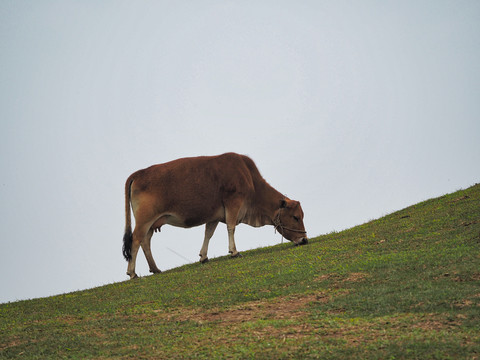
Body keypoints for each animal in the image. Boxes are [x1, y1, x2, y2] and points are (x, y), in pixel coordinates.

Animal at [122, 152, 306, 278]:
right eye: (296, 217)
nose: (304, 239)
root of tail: (139, 173)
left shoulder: (215, 216)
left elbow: (208, 234)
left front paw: (203, 257)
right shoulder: (233, 203)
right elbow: (231, 228)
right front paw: (234, 251)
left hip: (151, 222)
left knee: (146, 241)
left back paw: (155, 268)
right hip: (145, 219)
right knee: (136, 240)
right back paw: (132, 273)